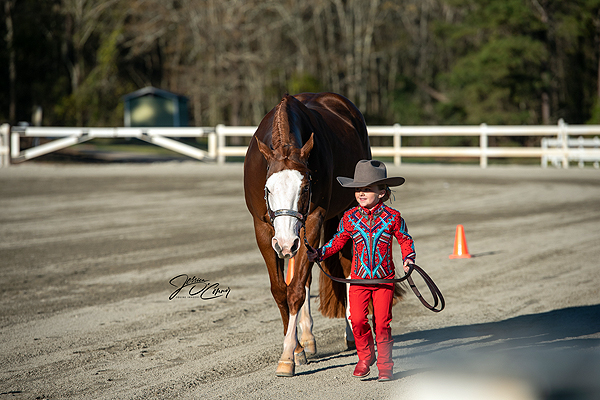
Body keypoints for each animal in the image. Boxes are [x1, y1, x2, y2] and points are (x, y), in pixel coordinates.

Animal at [243, 92, 370, 376]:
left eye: (304, 188)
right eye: (268, 189)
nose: (285, 243)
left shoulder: (313, 220)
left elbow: (296, 291)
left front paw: (288, 356)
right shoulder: (263, 229)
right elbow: (281, 290)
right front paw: (298, 349)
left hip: (339, 214)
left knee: (346, 269)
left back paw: (350, 333)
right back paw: (308, 337)